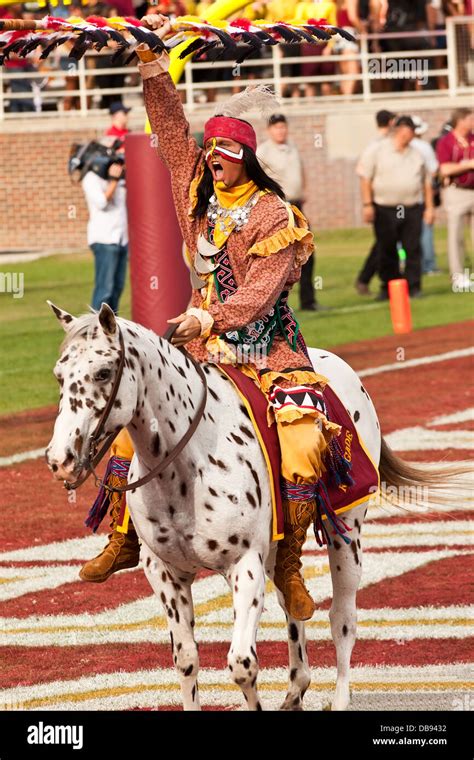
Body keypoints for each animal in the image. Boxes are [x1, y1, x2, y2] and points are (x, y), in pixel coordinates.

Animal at [48, 304, 452, 712]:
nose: (59, 459)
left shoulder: (244, 566)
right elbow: (186, 660)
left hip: (347, 534)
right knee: (291, 601)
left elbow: (242, 664)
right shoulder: (165, 572)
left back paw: (338, 696)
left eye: (103, 372)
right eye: (59, 375)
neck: (189, 467)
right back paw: (296, 688)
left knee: (343, 618)